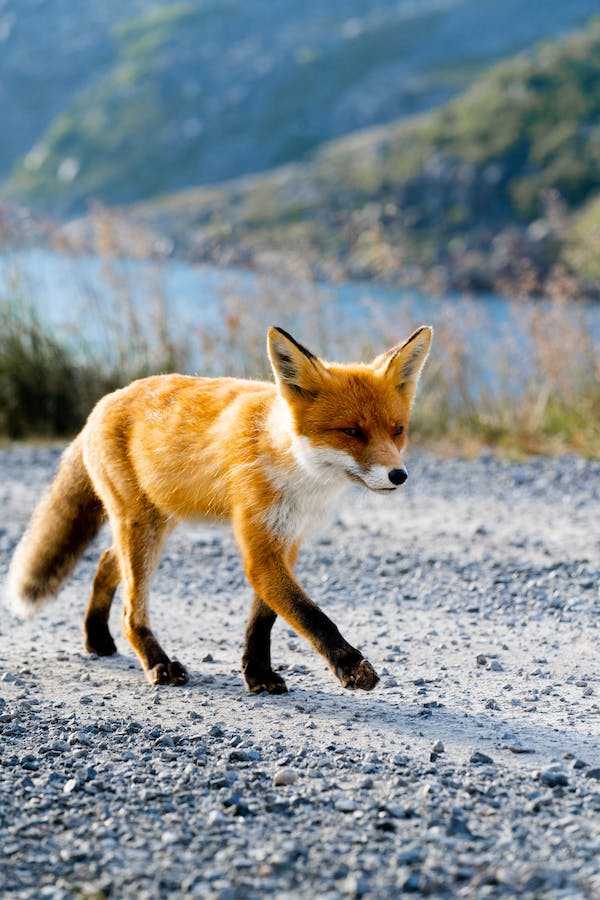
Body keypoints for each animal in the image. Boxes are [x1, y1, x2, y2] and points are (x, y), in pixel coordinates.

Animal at [6, 325, 432, 693]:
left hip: (158, 521)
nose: (399, 475)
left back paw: (97, 637)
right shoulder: (260, 545)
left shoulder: (287, 539)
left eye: (397, 430)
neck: (295, 468)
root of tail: (104, 401)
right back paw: (157, 662)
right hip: (143, 527)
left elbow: (264, 618)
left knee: (107, 562)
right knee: (130, 608)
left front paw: (257, 673)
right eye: (352, 432)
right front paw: (350, 666)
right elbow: (309, 614)